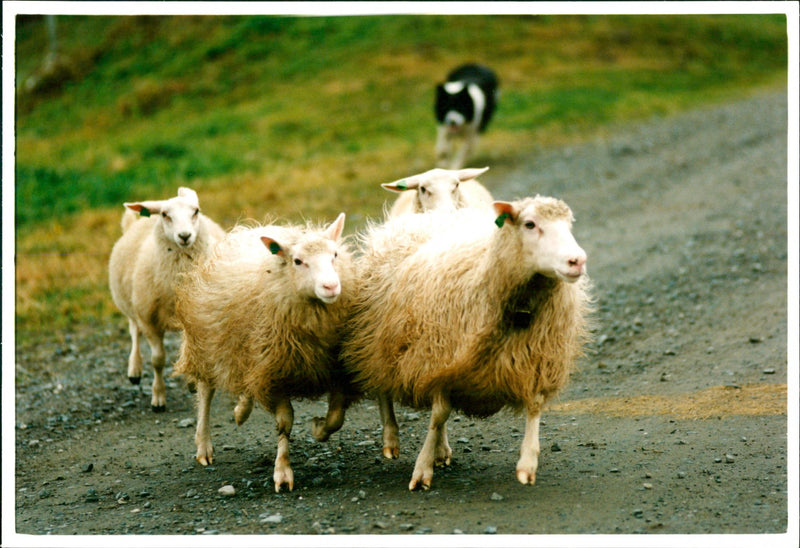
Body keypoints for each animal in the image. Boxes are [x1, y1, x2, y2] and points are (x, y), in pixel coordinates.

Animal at [108, 188, 227, 412]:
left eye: (196, 211)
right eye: (165, 215)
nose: (185, 236)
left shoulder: (195, 320)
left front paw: (192, 382)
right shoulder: (148, 320)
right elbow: (157, 360)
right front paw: (158, 398)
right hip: (131, 302)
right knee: (134, 331)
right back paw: (134, 370)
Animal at [173, 213, 358, 492]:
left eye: (335, 254)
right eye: (297, 261)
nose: (331, 286)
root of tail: (253, 229)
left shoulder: (334, 370)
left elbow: (336, 418)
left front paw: (318, 429)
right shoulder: (274, 373)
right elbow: (285, 422)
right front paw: (282, 472)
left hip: (247, 350)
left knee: (245, 383)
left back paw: (241, 411)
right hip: (207, 344)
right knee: (205, 391)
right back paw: (203, 445)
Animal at [340, 196, 592, 488]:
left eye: (568, 224)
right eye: (530, 224)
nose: (577, 261)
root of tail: (427, 216)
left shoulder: (538, 358)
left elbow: (535, 407)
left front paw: (527, 463)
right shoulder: (437, 354)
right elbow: (438, 415)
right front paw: (422, 469)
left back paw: (441, 450)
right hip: (378, 334)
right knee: (382, 385)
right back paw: (391, 438)